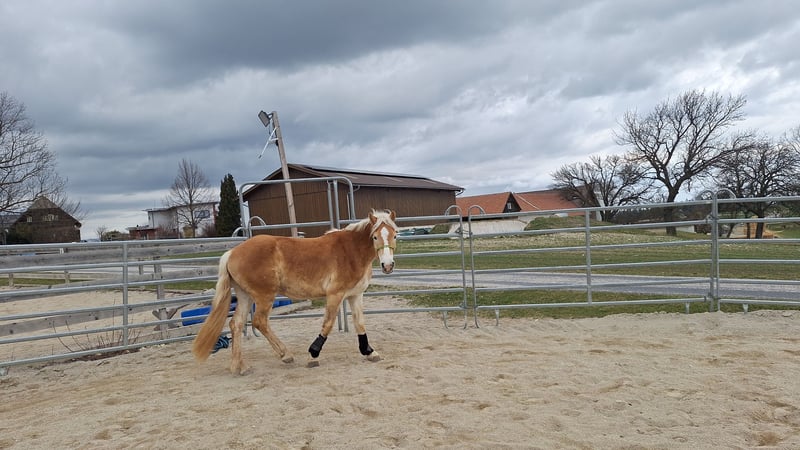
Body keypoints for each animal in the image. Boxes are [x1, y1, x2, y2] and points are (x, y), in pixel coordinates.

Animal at [192, 210, 398, 375]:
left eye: (395, 235)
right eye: (375, 237)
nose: (388, 265)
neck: (351, 251)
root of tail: (232, 253)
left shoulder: (355, 295)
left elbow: (360, 323)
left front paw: (370, 352)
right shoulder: (335, 295)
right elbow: (328, 324)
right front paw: (313, 355)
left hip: (245, 296)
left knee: (237, 324)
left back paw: (239, 367)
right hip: (264, 296)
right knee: (259, 322)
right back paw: (285, 355)